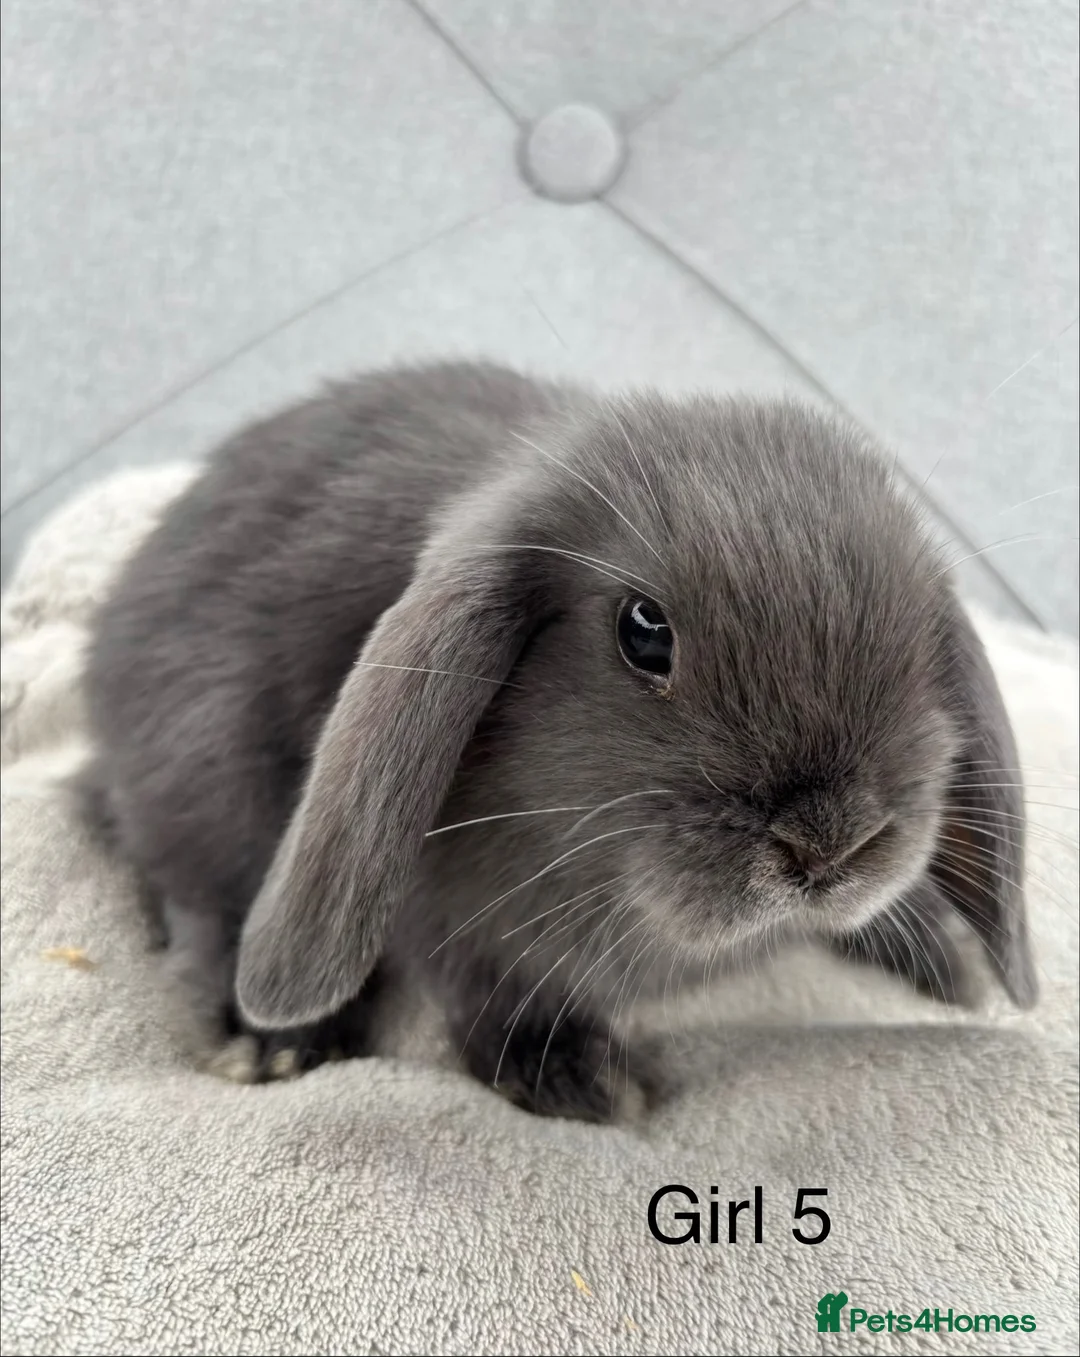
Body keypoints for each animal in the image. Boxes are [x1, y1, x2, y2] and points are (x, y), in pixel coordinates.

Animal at [76, 360, 1036, 1121]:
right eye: (643, 630)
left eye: (921, 639)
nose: (829, 841)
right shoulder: (444, 911)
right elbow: (483, 979)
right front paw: (573, 1072)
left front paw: (944, 950)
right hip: (202, 778)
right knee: (199, 900)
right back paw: (270, 1041)